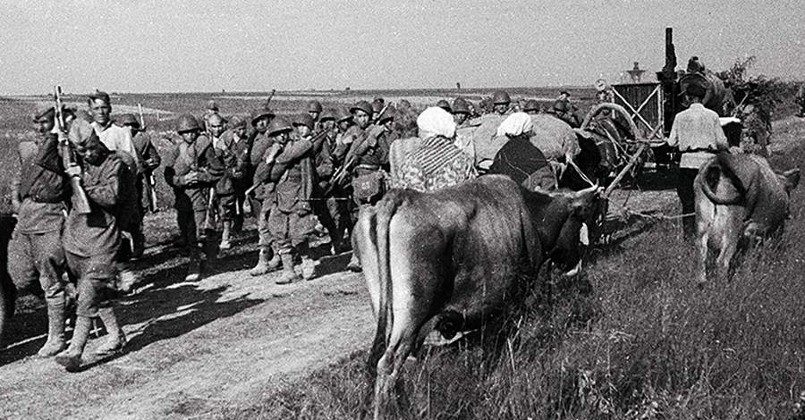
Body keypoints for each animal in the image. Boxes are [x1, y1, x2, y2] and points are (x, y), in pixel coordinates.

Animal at [352, 175, 603, 419]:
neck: (531, 213)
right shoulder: (512, 304)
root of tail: (399, 197)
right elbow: (504, 345)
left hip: (389, 315)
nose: (575, 263)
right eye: (579, 219)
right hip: (411, 317)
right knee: (389, 364)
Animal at [694, 153, 800, 285]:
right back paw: (724, 285)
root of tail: (719, 160)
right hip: (732, 225)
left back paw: (701, 283)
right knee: (722, 260)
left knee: (701, 253)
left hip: (702, 220)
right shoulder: (766, 230)